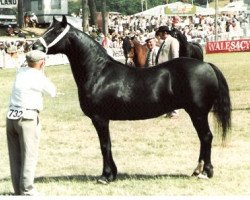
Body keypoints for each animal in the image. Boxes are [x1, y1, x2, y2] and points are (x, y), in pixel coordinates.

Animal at [32, 16, 231, 184]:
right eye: (48, 29)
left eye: (55, 32)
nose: (33, 45)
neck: (99, 72)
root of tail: (207, 65)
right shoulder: (104, 119)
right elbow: (109, 145)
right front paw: (112, 174)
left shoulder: (99, 118)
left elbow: (104, 145)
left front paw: (105, 176)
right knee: (203, 139)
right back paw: (197, 171)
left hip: (198, 113)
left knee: (206, 137)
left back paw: (205, 172)